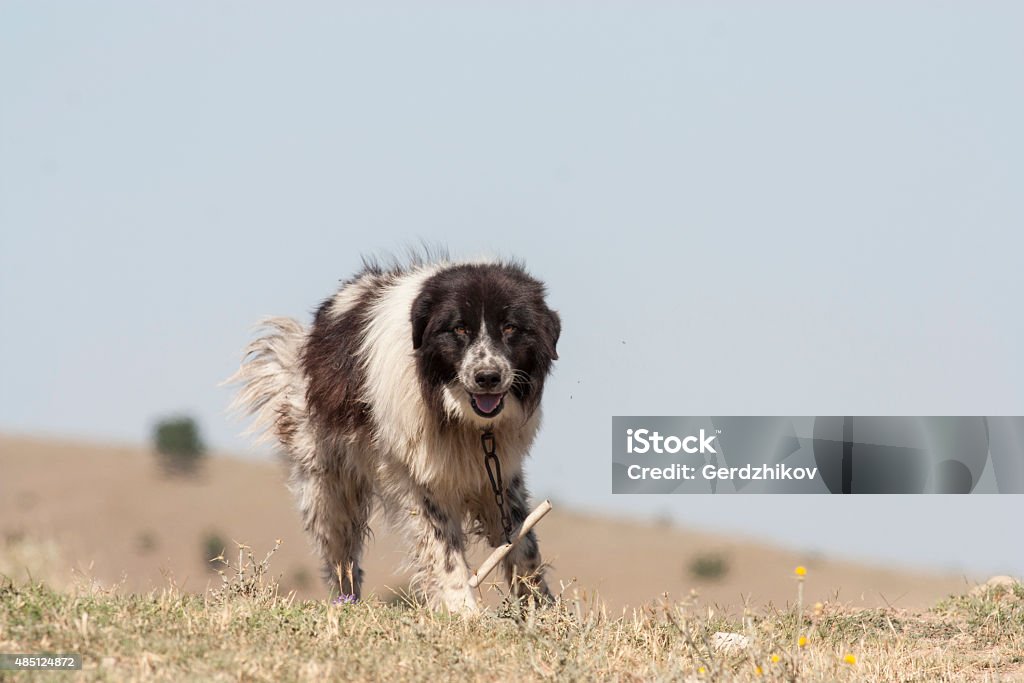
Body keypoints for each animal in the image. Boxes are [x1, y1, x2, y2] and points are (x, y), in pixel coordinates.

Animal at [230, 258, 561, 614]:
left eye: (511, 328)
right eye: (459, 329)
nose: (487, 377)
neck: (460, 418)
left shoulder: (499, 474)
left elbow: (522, 544)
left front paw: (543, 608)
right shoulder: (417, 475)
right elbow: (443, 551)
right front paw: (462, 611)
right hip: (328, 485)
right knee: (340, 553)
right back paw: (346, 602)